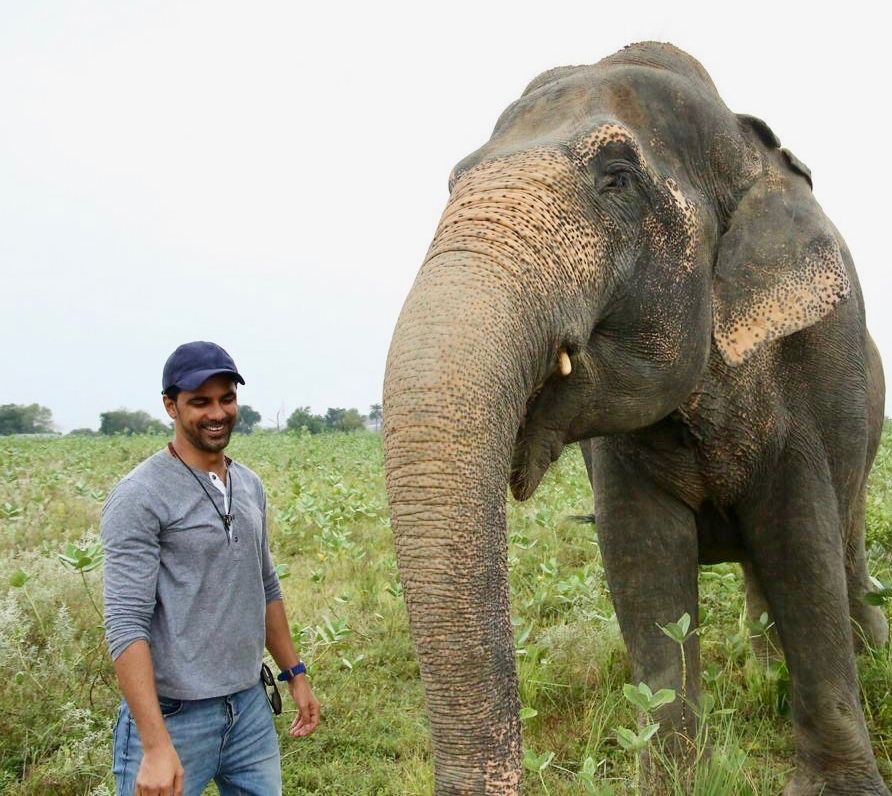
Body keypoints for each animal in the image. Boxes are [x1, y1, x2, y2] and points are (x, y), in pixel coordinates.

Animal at [383, 42, 889, 795]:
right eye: (453, 181)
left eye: (617, 179)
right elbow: (641, 560)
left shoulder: (807, 384)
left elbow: (801, 546)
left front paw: (843, 788)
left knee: (845, 549)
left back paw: (869, 653)